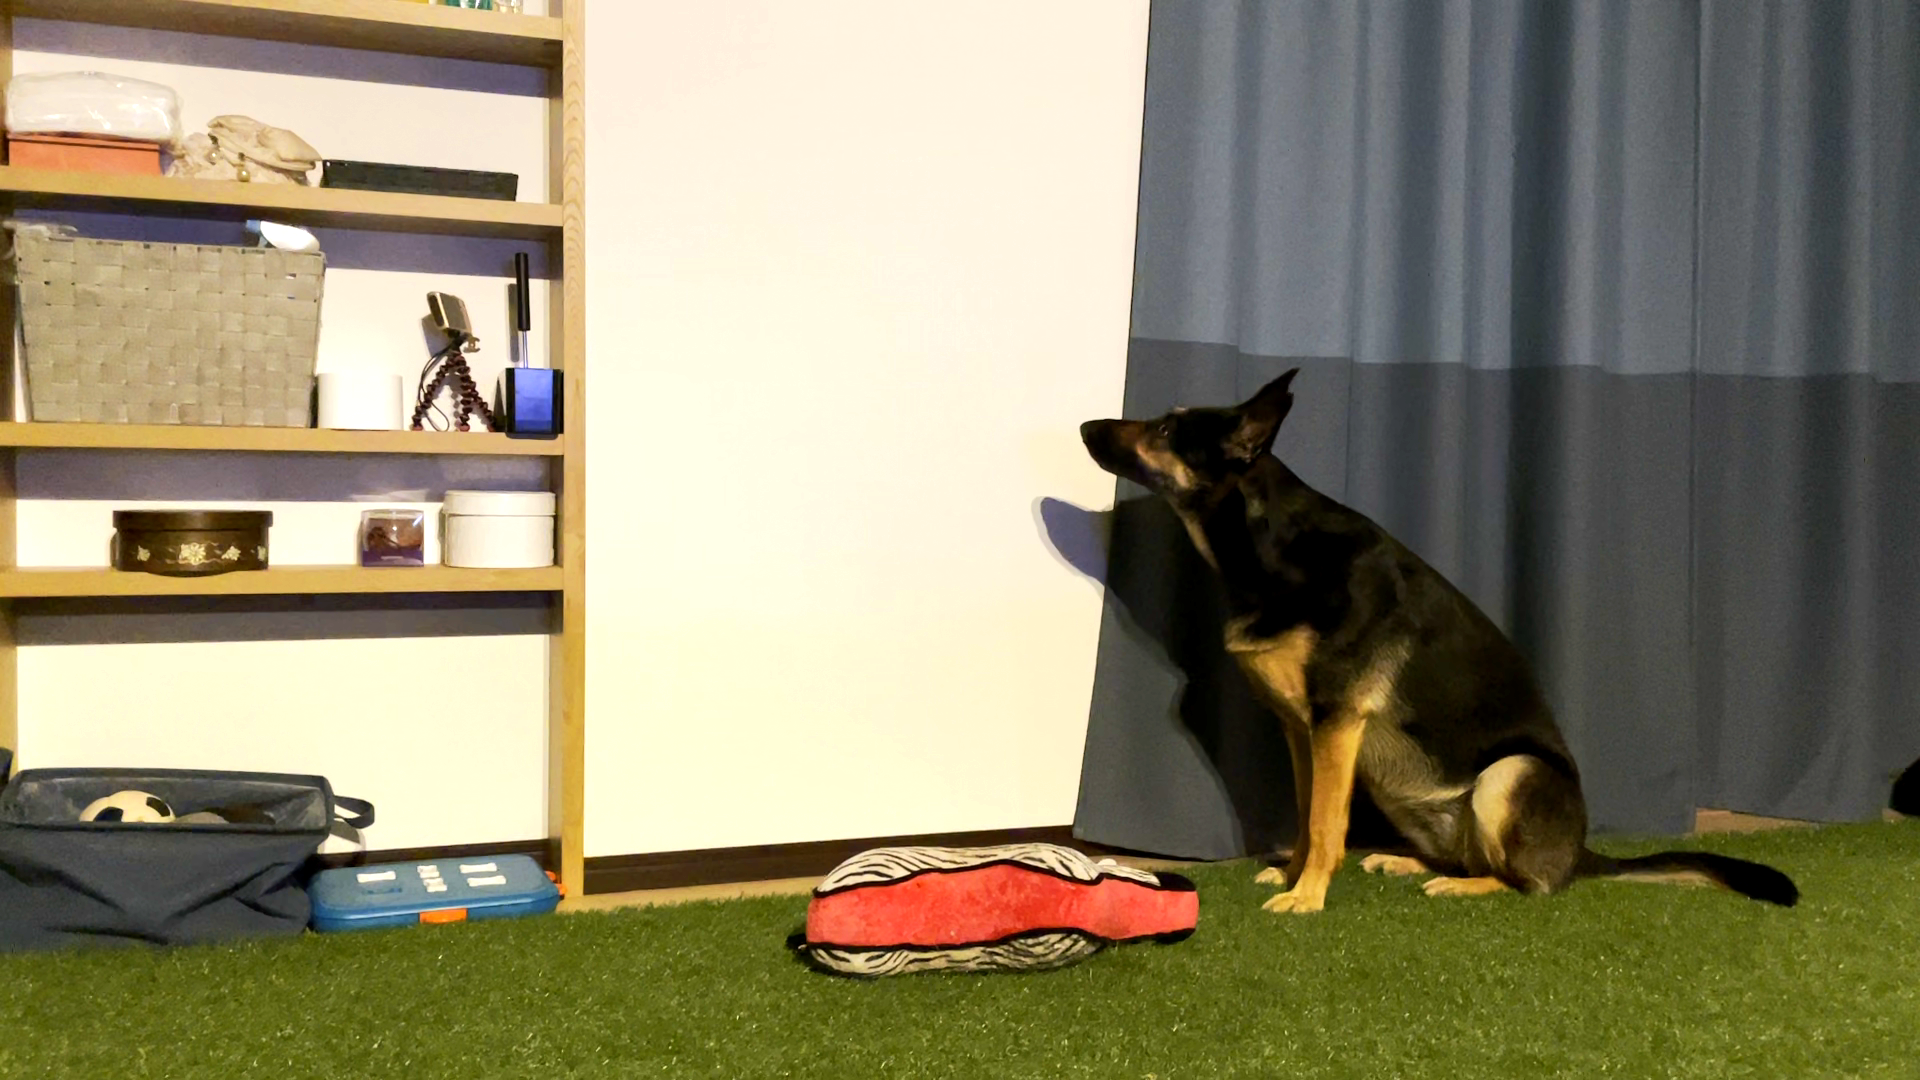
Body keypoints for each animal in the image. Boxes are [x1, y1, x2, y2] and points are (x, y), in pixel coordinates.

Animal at [1080, 369, 1798, 913]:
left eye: (1167, 431)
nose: (1085, 427)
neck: (1270, 547)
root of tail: (1581, 852)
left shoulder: (1336, 719)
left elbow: (1326, 821)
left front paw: (1307, 897)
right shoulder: (1301, 729)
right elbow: (1307, 810)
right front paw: (1293, 874)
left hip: (1508, 774)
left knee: (1531, 884)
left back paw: (1465, 886)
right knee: (1474, 857)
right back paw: (1409, 864)